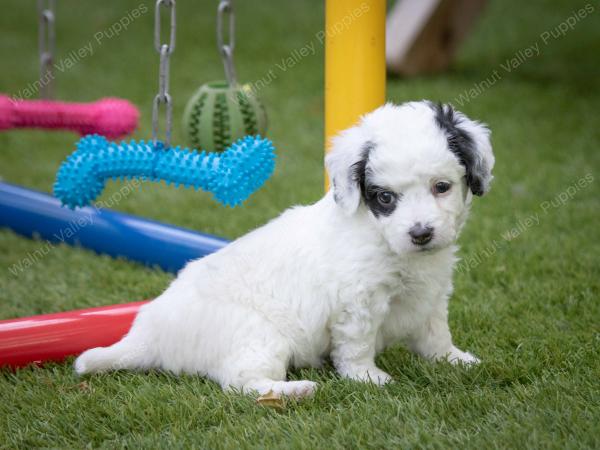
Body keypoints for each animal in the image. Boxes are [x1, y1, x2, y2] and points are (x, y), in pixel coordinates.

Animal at [75, 101, 494, 398]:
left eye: (442, 187)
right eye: (385, 198)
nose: (421, 233)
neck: (380, 235)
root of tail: (147, 335)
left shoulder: (431, 292)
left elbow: (435, 333)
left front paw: (454, 360)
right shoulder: (358, 302)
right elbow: (357, 345)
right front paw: (368, 378)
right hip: (258, 335)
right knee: (241, 383)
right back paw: (296, 391)